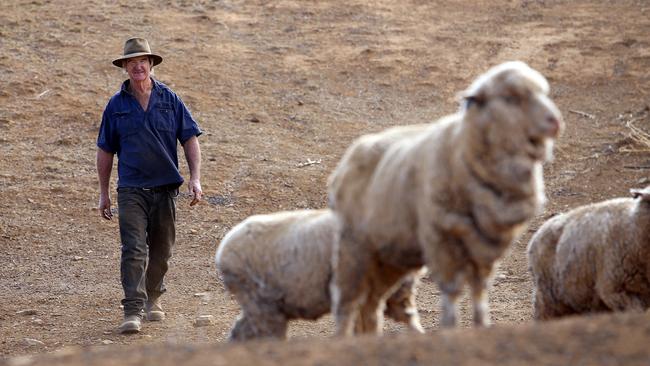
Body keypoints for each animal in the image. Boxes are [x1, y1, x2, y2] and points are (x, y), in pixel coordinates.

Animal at [214, 209, 426, 344]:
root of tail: (223, 249)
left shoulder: (394, 294)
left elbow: (407, 321)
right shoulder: (348, 287)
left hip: (262, 302)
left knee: (241, 329)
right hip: (260, 300)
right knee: (268, 333)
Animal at [326, 61, 560, 336]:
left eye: (544, 92)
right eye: (510, 98)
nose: (555, 122)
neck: (463, 149)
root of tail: (350, 156)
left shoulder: (485, 246)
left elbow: (479, 293)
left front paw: (482, 326)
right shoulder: (442, 240)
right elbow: (452, 295)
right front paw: (451, 328)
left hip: (389, 253)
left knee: (371, 304)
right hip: (353, 247)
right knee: (347, 302)